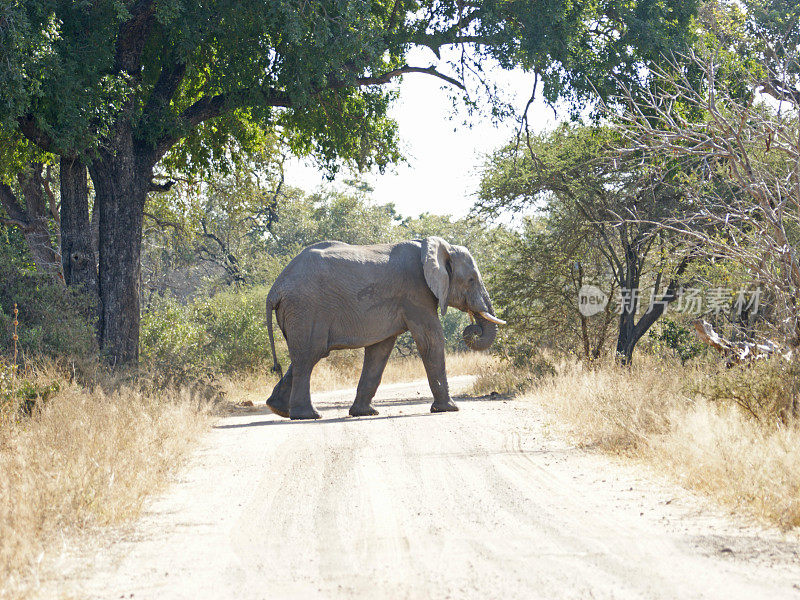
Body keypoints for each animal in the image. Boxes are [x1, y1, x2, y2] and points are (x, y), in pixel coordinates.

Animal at [268, 233, 506, 418]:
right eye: (472, 279)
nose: (473, 328)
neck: (434, 247)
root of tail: (276, 288)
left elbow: (380, 351)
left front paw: (365, 413)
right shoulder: (416, 292)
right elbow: (431, 340)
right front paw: (449, 409)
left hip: (299, 311)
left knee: (306, 355)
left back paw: (279, 409)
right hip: (306, 309)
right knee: (309, 355)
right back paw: (308, 415)